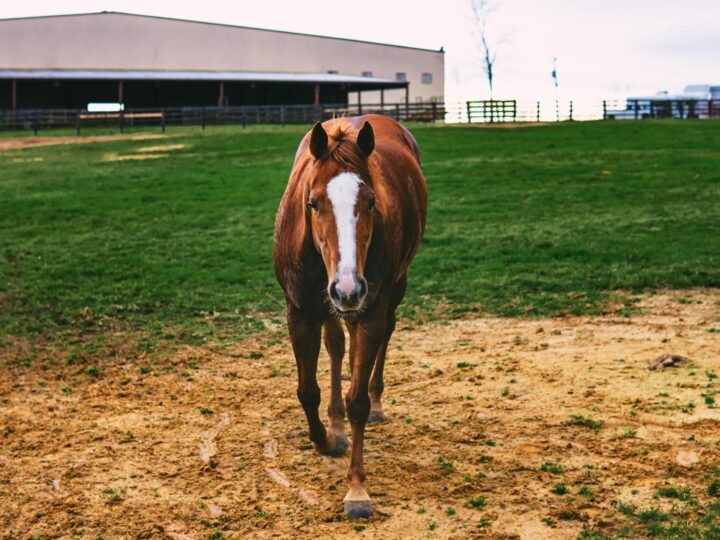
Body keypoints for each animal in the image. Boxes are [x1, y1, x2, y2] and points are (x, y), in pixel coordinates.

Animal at [273, 114, 427, 518]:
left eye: (371, 202)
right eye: (313, 202)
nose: (348, 288)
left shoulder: (370, 309)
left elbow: (357, 399)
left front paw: (357, 488)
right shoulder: (300, 312)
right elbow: (307, 391)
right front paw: (327, 439)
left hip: (391, 289)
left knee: (383, 336)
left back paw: (375, 402)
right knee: (338, 345)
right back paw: (336, 420)